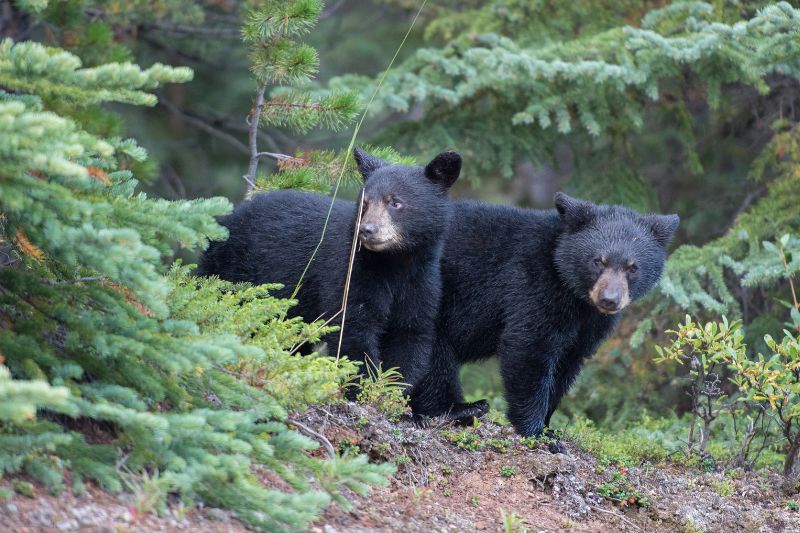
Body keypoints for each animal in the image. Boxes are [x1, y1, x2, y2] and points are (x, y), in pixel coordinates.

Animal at [198, 148, 462, 388]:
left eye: (395, 202)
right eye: (364, 203)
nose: (367, 230)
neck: (395, 263)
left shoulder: (422, 281)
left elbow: (410, 333)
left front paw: (391, 389)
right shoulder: (350, 271)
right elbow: (353, 327)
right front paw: (362, 386)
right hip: (228, 271)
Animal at [412, 193, 680, 434]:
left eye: (632, 267)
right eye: (598, 261)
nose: (609, 300)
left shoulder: (590, 324)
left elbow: (568, 362)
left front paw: (550, 424)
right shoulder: (532, 284)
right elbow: (529, 345)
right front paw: (535, 428)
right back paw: (461, 409)